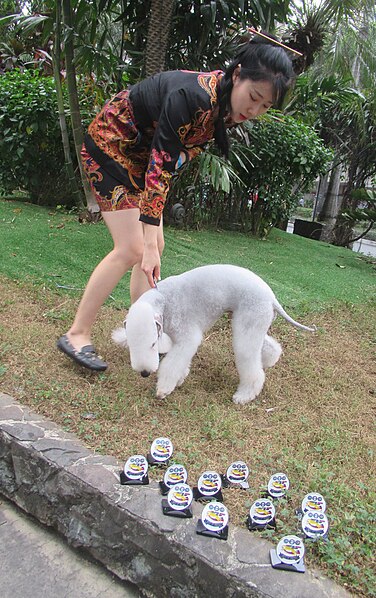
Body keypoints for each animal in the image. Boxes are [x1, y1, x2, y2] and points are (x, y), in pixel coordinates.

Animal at [112, 266, 314, 404]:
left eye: (153, 344)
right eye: (132, 346)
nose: (144, 373)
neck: (163, 301)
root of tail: (271, 297)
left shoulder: (187, 335)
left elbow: (173, 362)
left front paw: (163, 389)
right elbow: (181, 362)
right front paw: (181, 377)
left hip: (250, 320)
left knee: (251, 365)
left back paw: (244, 396)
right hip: (252, 323)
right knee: (267, 347)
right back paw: (269, 360)